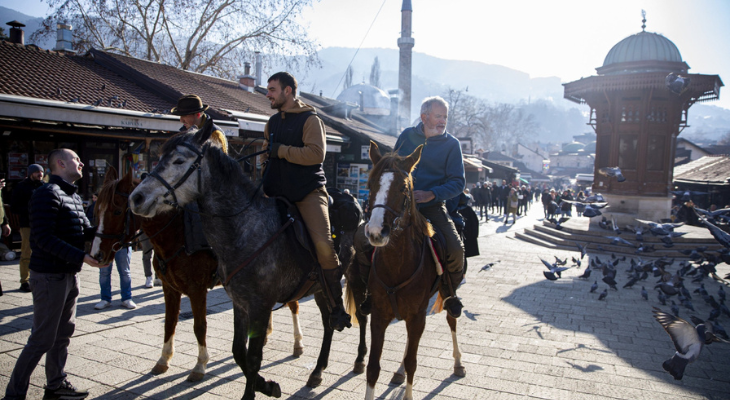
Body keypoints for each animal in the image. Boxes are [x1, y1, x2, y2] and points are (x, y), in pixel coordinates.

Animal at [89, 168, 304, 382]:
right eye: (96, 210)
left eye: (117, 211)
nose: (96, 255)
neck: (178, 234)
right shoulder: (170, 288)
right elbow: (169, 322)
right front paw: (164, 359)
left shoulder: (197, 290)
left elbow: (200, 326)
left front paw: (200, 365)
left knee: (293, 304)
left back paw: (298, 343)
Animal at [129, 126, 362, 400]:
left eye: (178, 160)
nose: (137, 197)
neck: (244, 229)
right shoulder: (240, 303)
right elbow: (239, 352)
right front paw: (266, 385)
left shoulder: (258, 305)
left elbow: (252, 358)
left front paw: (256, 388)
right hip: (318, 288)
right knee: (327, 322)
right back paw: (317, 371)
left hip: (354, 277)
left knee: (362, 316)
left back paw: (360, 360)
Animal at [362, 142, 464, 398]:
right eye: (370, 184)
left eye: (403, 188)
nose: (376, 232)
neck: (397, 265)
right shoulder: (379, 315)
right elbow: (373, 367)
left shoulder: (418, 315)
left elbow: (412, 363)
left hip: (447, 292)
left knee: (451, 320)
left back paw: (458, 363)